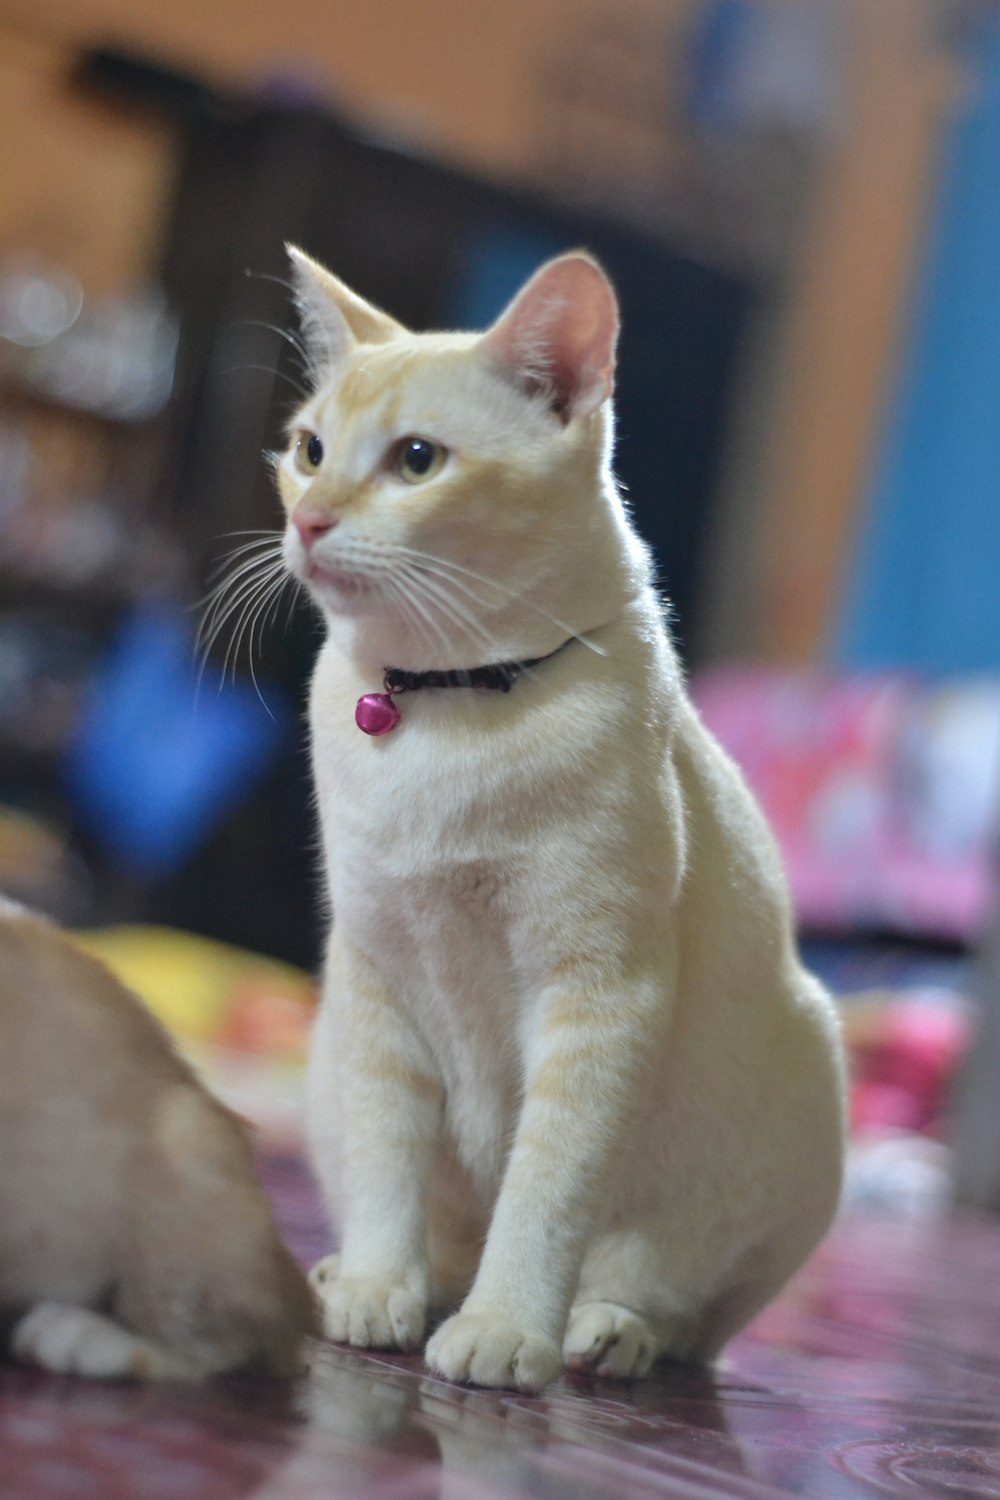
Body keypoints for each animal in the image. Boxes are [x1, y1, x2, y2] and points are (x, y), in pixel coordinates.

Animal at [277, 246, 851, 1392]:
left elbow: (543, 1194)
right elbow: (386, 1164)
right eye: (309, 449)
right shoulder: (375, 977)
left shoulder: (596, 998)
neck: (441, 709)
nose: (309, 520)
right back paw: (364, 1278)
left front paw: (505, 1332)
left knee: (681, 1309)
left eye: (415, 460)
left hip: (805, 1082)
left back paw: (606, 1331)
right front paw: (373, 1288)